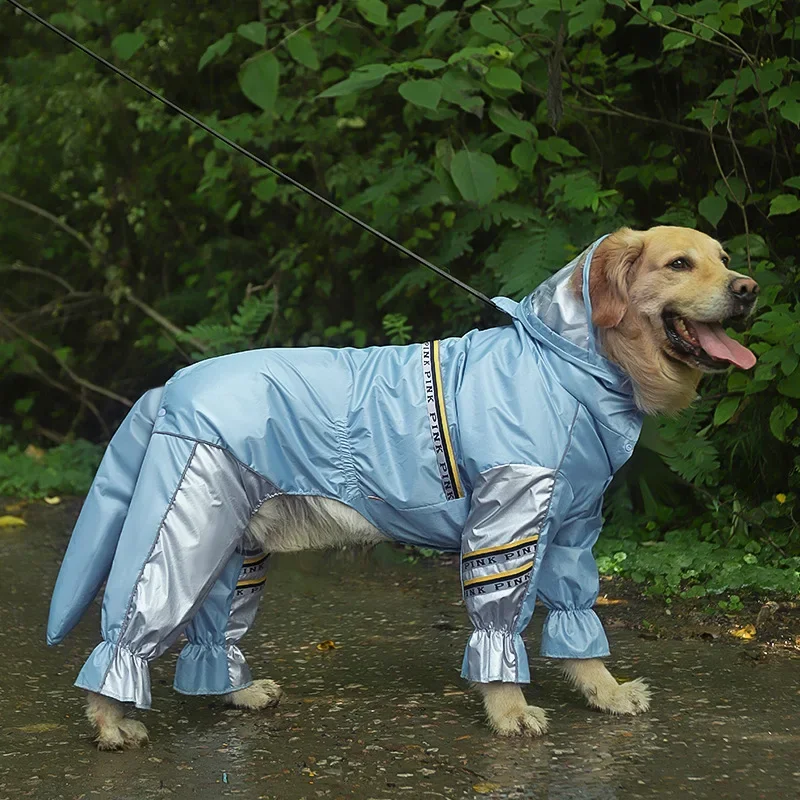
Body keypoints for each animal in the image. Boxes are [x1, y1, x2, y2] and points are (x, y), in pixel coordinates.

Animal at [84, 222, 760, 748]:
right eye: (679, 263)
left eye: (724, 258)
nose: (749, 288)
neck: (564, 365)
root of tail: (172, 384)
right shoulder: (509, 520)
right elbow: (500, 626)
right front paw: (510, 711)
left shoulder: (571, 532)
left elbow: (580, 621)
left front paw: (608, 694)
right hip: (186, 526)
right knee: (131, 628)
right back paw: (112, 721)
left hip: (235, 547)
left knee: (210, 629)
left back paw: (237, 694)